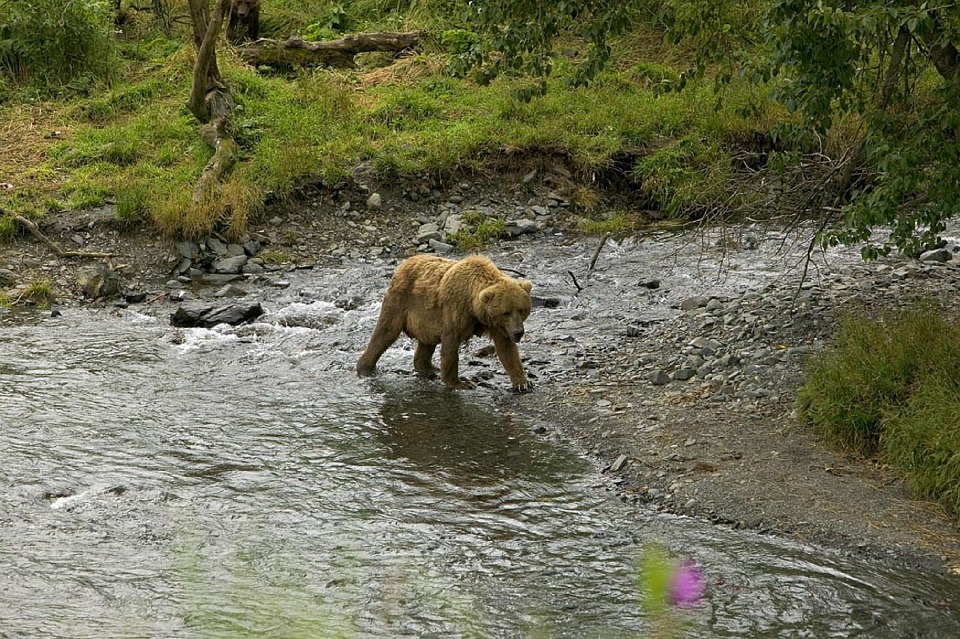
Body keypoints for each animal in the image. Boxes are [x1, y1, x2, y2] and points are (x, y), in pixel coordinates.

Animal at [356, 255, 532, 390]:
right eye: (506, 312)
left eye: (521, 309)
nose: (518, 332)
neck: (475, 309)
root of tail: (403, 264)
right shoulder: (456, 311)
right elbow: (450, 346)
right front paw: (461, 383)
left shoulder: (497, 325)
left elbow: (507, 349)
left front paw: (523, 383)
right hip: (401, 301)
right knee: (385, 333)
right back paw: (365, 368)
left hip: (424, 319)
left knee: (426, 343)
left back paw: (429, 367)